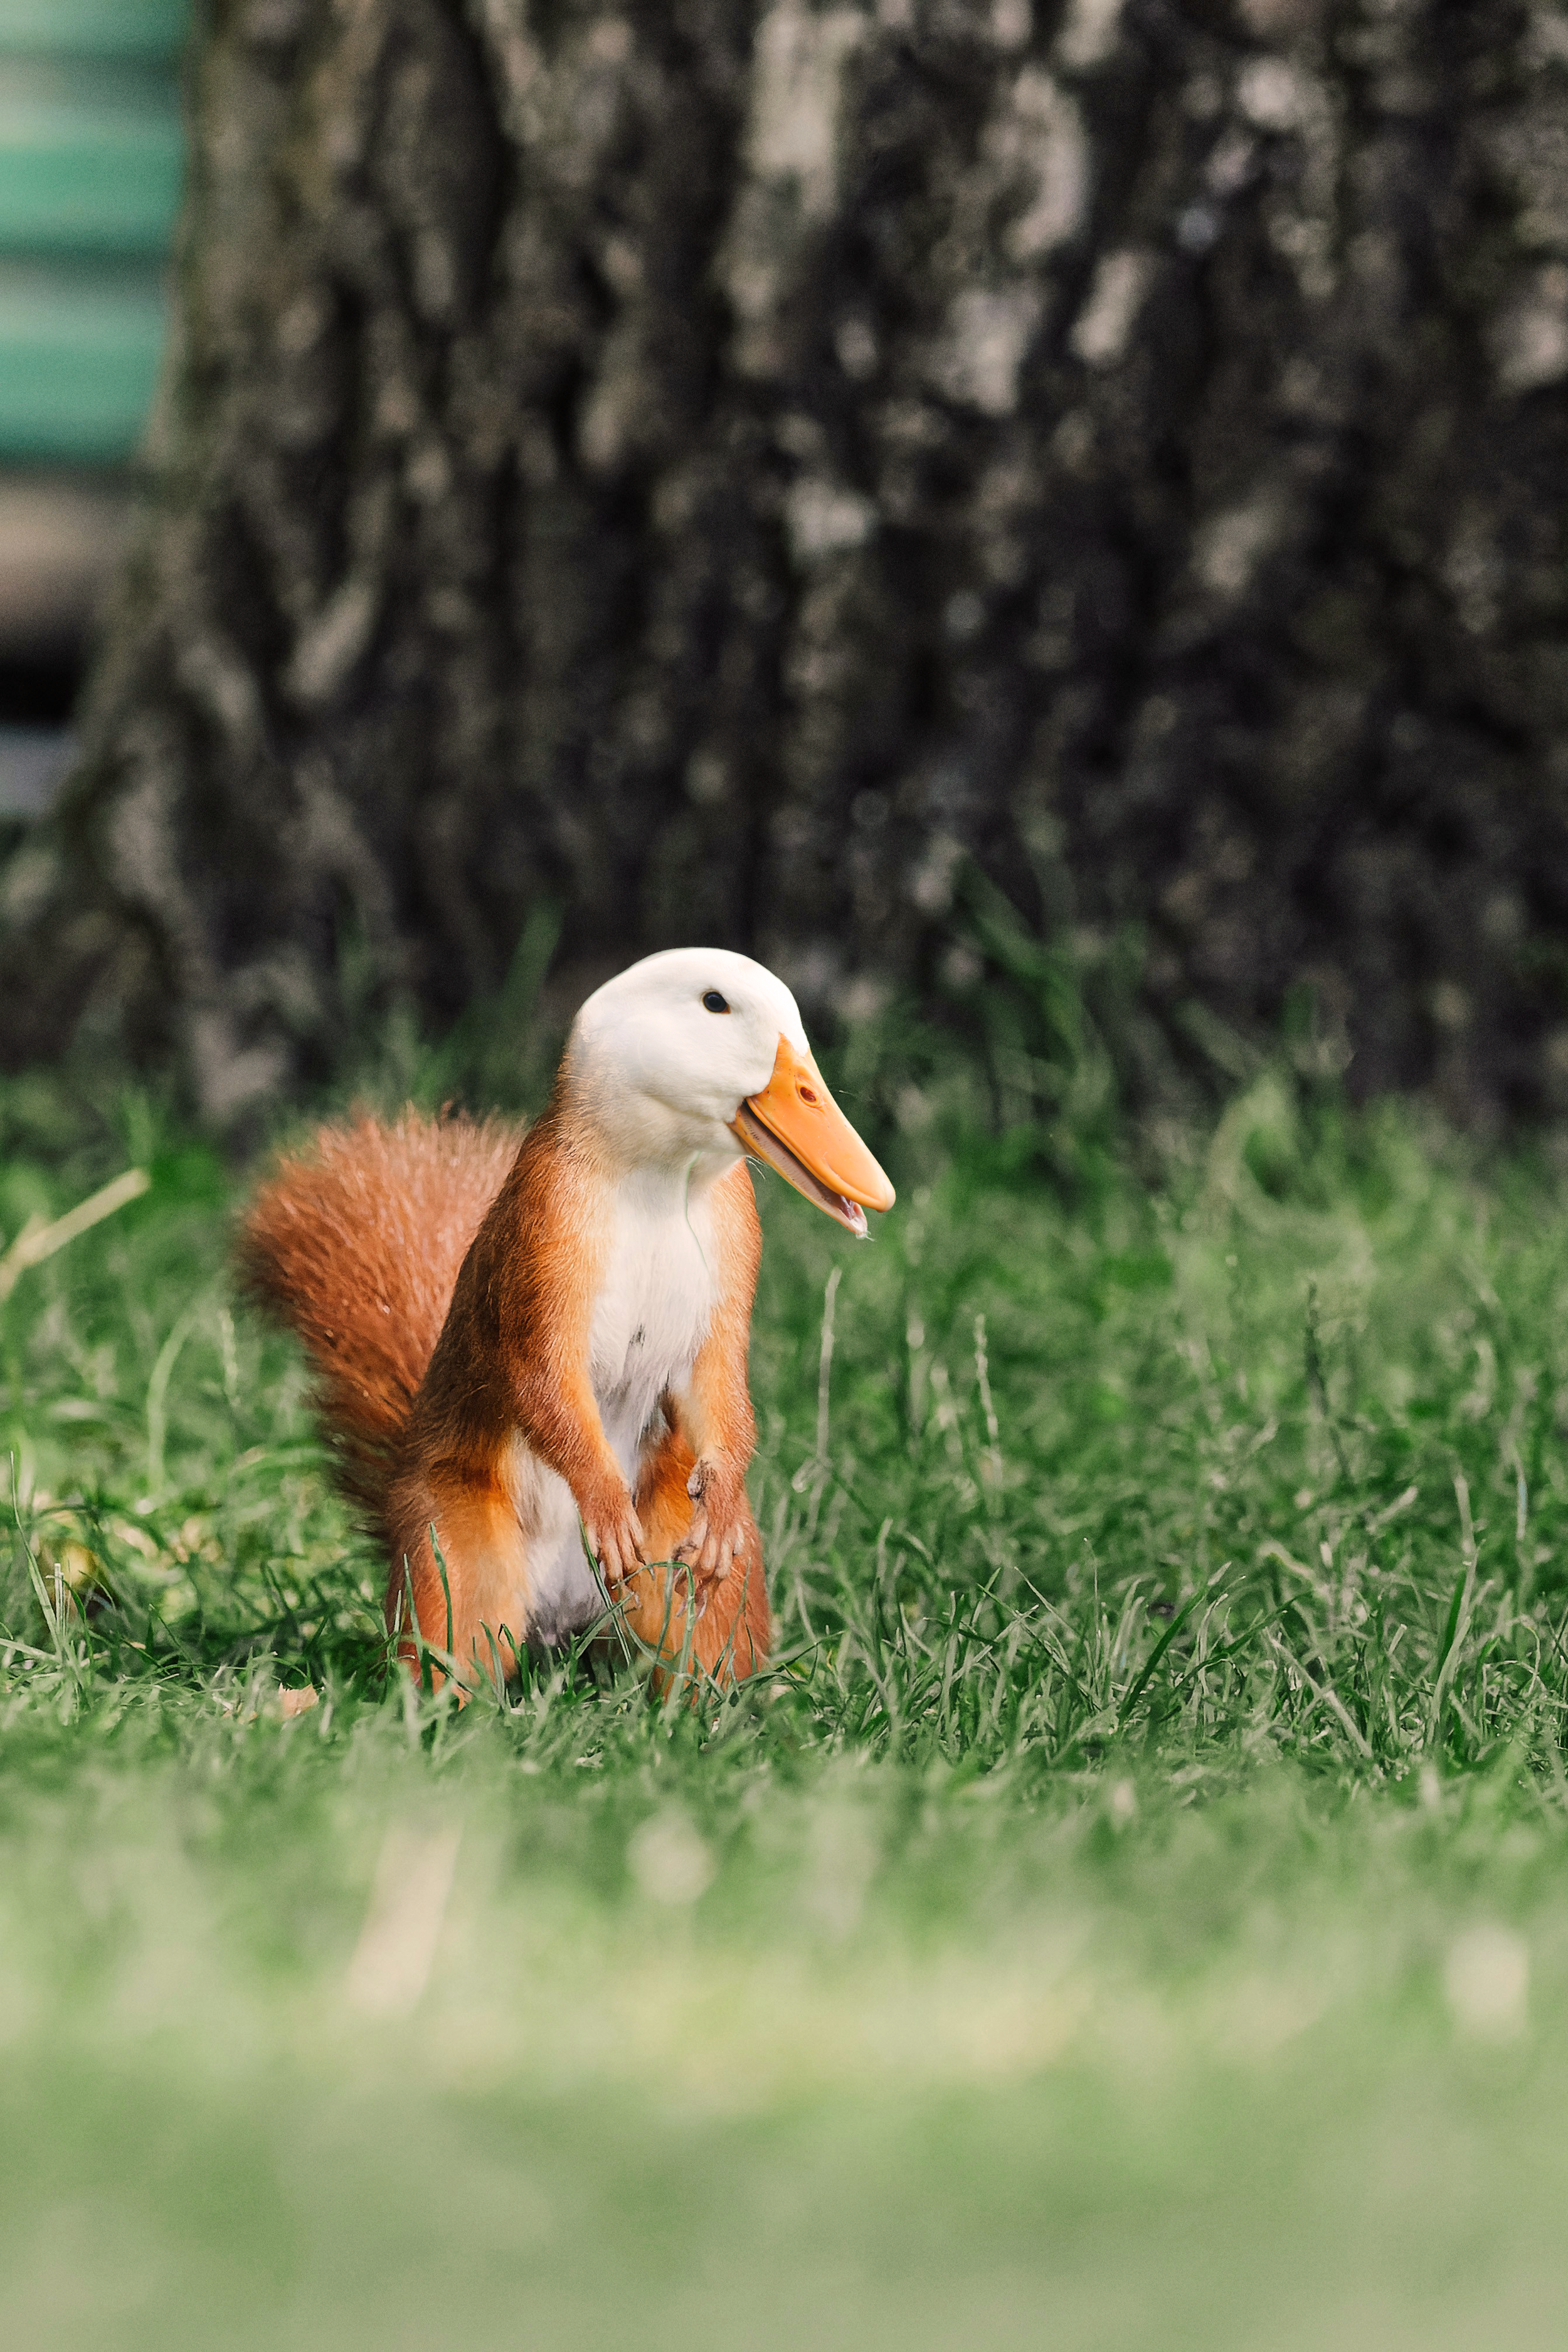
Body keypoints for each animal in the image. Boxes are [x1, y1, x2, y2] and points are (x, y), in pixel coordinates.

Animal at [239, 948, 895, 1692]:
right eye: (715, 1003)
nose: (817, 1101)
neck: (663, 1179)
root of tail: (566, 1622)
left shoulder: (735, 1243)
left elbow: (719, 1383)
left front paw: (724, 1497)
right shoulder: (544, 1226)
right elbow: (541, 1377)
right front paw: (605, 1505)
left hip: (694, 1573)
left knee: (702, 1649)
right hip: (456, 1557)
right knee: (448, 1655)